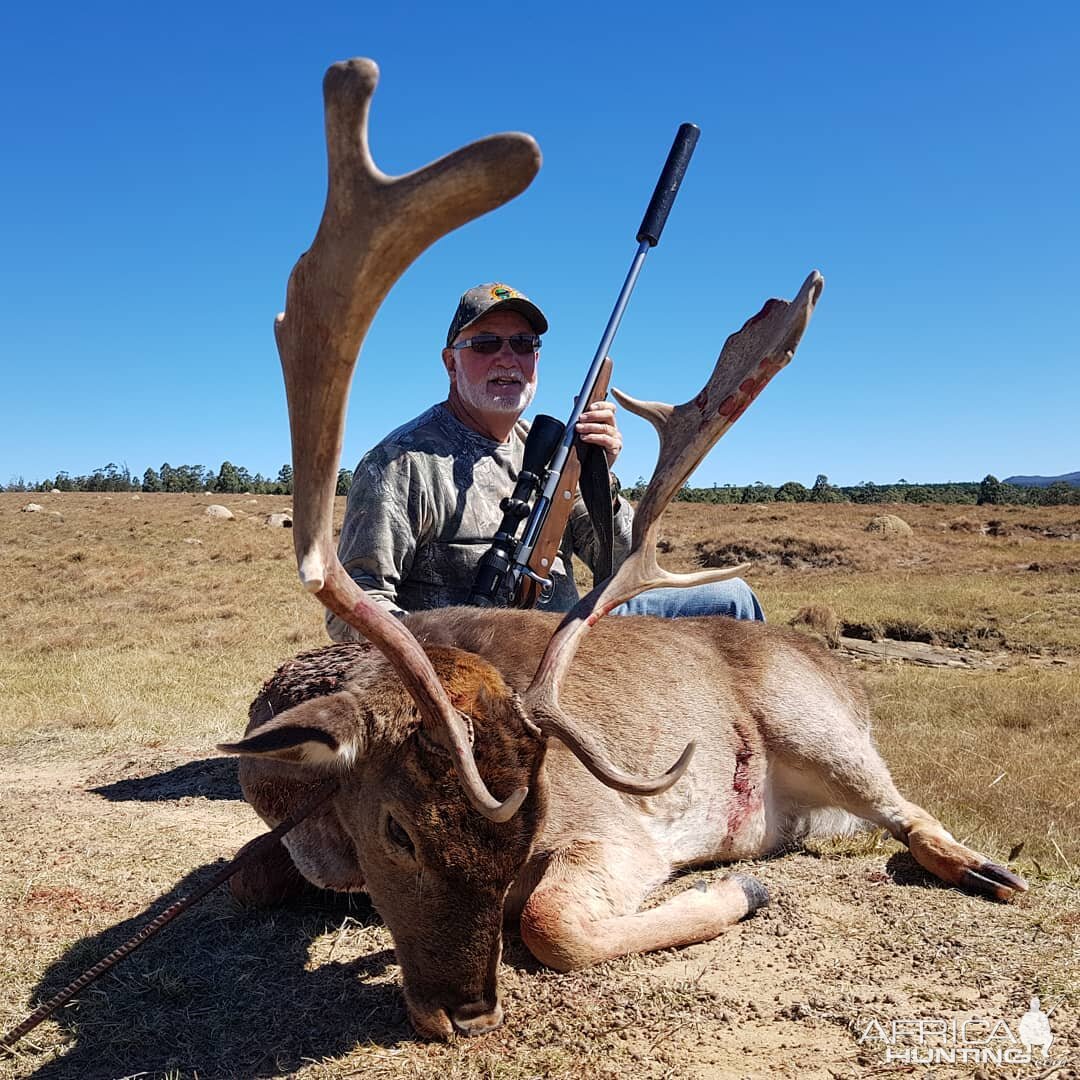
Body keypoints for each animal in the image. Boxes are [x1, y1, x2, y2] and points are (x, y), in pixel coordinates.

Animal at [214, 59, 1023, 1036]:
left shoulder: (614, 829)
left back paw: (989, 868)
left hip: (826, 735)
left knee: (912, 810)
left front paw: (739, 894)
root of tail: (846, 678)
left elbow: (551, 921)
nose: (466, 1011)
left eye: (528, 830)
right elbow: (240, 877)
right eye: (397, 830)